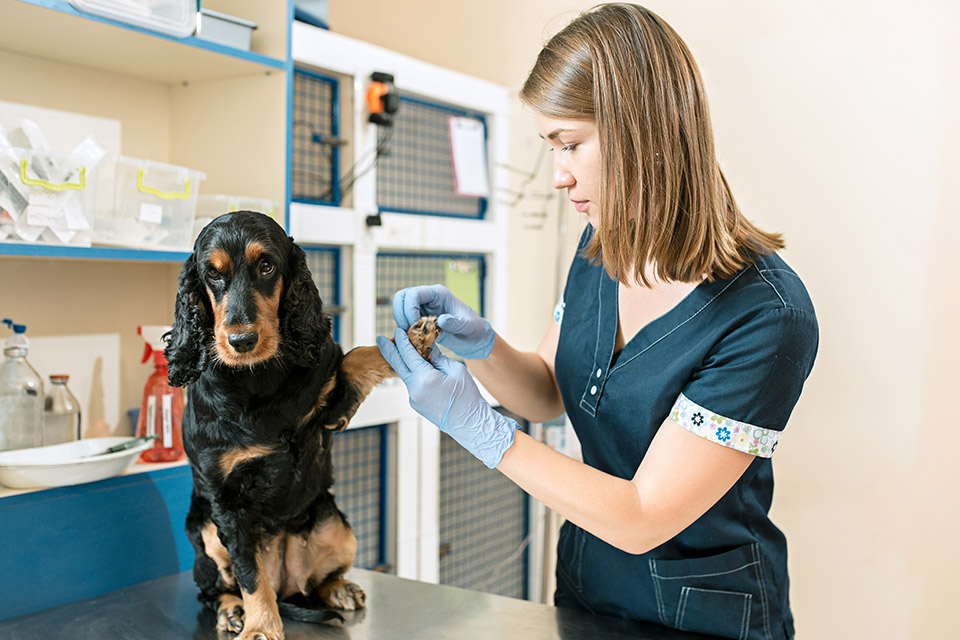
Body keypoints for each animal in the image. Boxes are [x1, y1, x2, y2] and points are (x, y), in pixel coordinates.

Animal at [166, 211, 438, 640]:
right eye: (212, 274)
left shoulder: (333, 407)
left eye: (266, 266)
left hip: (338, 526)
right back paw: (232, 610)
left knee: (316, 583)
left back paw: (339, 588)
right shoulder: (226, 499)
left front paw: (414, 338)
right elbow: (249, 572)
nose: (241, 340)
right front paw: (261, 626)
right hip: (206, 532)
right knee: (215, 590)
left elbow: (356, 358)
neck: (257, 379)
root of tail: (286, 584)